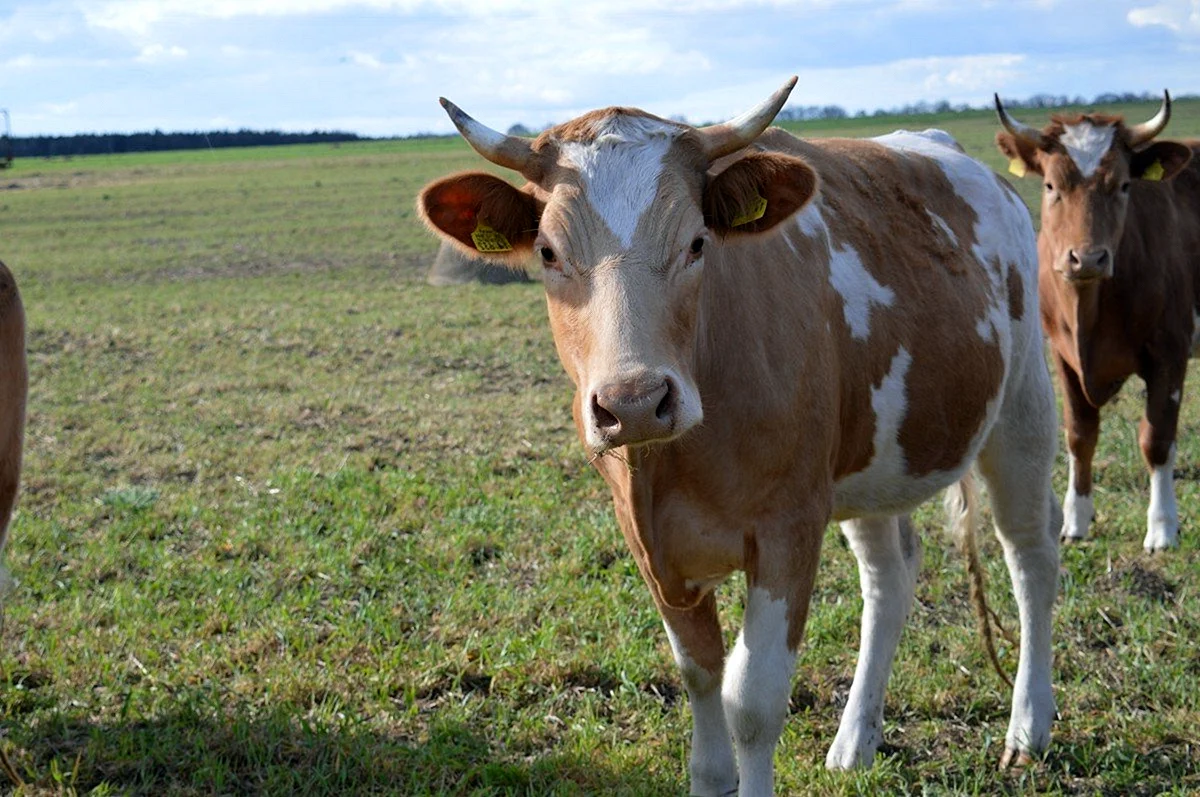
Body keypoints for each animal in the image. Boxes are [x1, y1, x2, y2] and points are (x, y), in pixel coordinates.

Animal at [419, 78, 1060, 794]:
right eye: (549, 253)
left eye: (699, 242)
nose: (634, 403)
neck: (680, 461)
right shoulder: (648, 541)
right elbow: (700, 676)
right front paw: (711, 769)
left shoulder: (788, 527)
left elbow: (751, 700)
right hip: (869, 456)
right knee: (889, 577)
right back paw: (855, 740)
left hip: (1023, 408)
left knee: (1031, 555)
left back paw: (1028, 728)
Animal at [995, 93, 1199, 552]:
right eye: (1051, 186)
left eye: (1124, 185)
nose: (1087, 258)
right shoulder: (1062, 356)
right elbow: (1079, 435)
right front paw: (1076, 519)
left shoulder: (1170, 352)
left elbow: (1157, 439)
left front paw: (1162, 526)